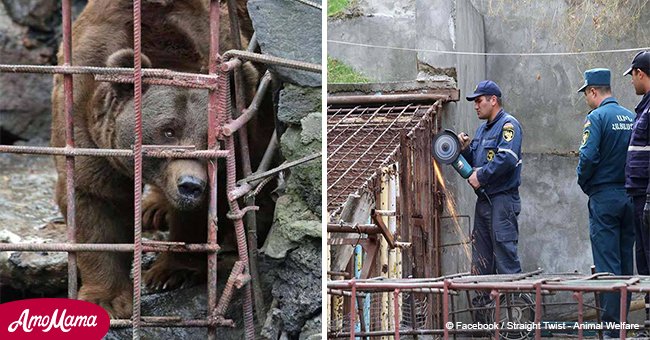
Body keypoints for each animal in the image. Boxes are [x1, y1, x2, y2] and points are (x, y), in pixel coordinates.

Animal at [50, 0, 270, 318]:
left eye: (212, 138)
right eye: (167, 130)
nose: (190, 184)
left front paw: (170, 272)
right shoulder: (82, 109)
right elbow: (94, 199)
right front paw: (107, 299)